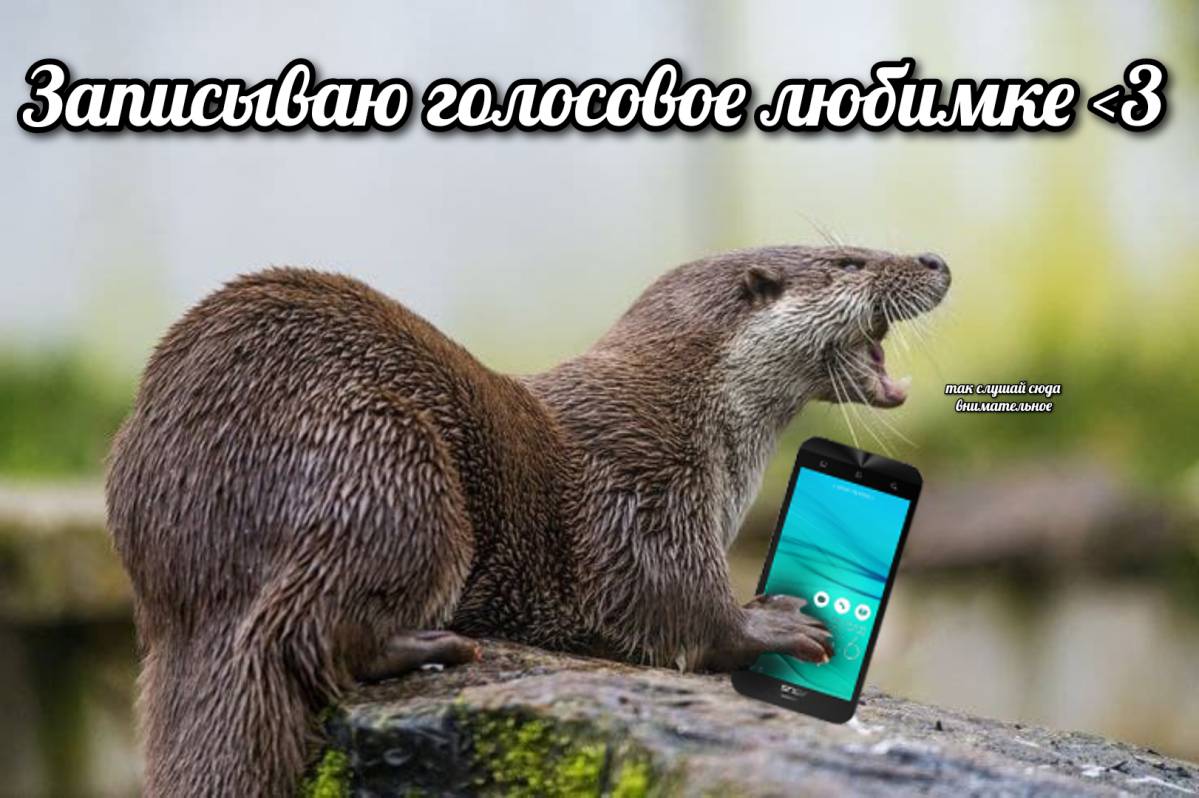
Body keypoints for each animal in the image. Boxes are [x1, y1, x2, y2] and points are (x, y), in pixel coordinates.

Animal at [105, 244, 949, 796]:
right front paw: (771, 623)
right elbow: (660, 597)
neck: (699, 414)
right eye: (850, 261)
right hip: (387, 461)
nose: (934, 258)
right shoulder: (640, 475)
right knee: (303, 630)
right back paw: (432, 646)